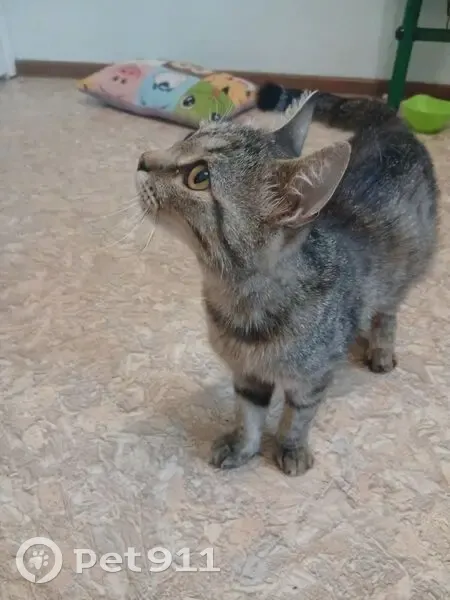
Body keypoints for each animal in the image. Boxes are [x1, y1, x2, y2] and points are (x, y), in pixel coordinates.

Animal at [135, 89, 438, 476]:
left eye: (199, 177)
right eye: (187, 137)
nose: (143, 159)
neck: (239, 302)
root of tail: (391, 126)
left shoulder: (313, 378)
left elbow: (299, 415)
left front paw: (291, 447)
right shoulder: (247, 374)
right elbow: (248, 414)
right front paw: (244, 446)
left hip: (405, 271)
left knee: (388, 311)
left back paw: (381, 348)